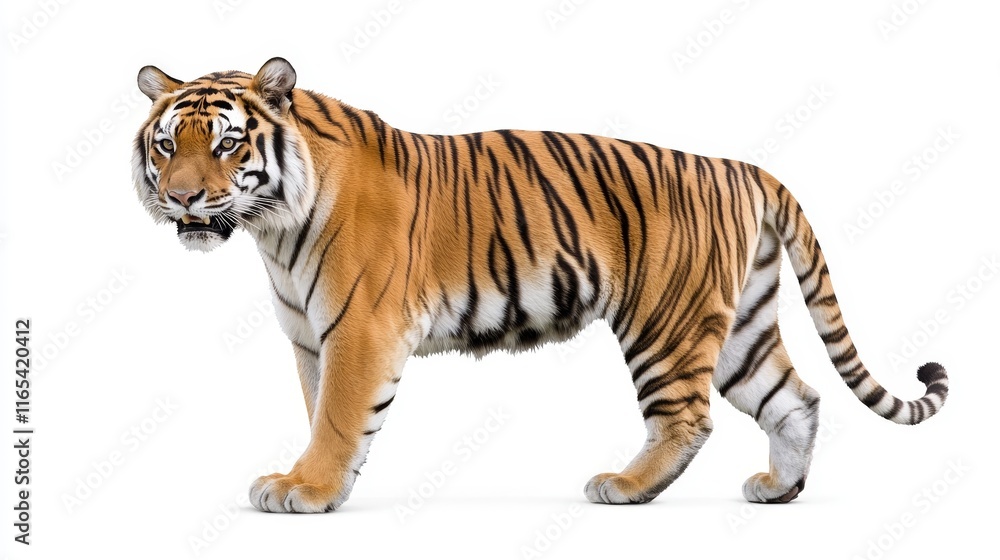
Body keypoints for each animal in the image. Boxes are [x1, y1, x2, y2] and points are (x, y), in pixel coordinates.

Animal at [132, 57, 949, 513]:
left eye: (227, 144)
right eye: (167, 143)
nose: (182, 198)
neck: (274, 225)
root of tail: (741, 167)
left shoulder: (359, 329)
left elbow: (338, 416)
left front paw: (308, 490)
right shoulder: (310, 337)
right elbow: (320, 412)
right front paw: (315, 481)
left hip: (666, 322)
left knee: (689, 418)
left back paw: (625, 486)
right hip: (740, 326)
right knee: (797, 398)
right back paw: (779, 490)